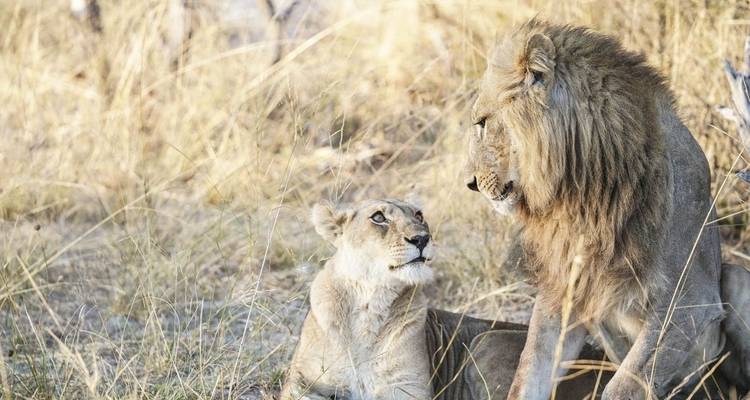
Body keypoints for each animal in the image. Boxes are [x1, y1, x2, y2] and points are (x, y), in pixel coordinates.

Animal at [281, 198, 611, 400]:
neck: (369, 302)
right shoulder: (301, 381)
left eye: (418, 215)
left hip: (487, 341)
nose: (421, 238)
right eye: (378, 217)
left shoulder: (408, 389)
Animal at [464, 19, 727, 399]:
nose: (470, 183)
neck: (583, 193)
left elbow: (624, 385)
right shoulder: (566, 284)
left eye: (483, 122)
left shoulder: (691, 301)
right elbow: (531, 367)